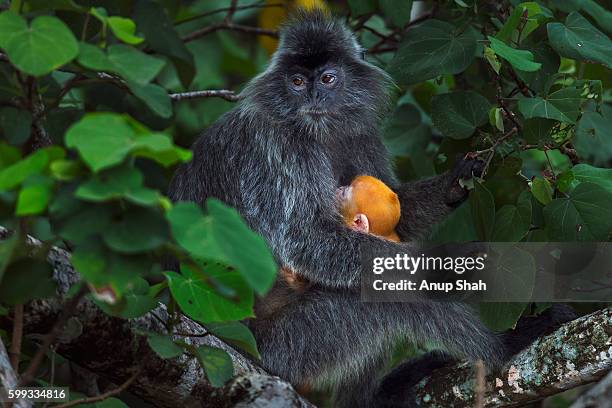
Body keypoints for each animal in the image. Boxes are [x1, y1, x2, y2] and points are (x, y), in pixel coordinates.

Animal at [169, 9, 572, 408]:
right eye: (297, 82)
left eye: (328, 79)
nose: (313, 96)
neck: (319, 132)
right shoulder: (280, 145)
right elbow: (307, 239)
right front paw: (446, 261)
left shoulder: (359, 134)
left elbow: (397, 214)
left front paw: (456, 184)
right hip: (284, 349)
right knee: (388, 298)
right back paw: (502, 346)